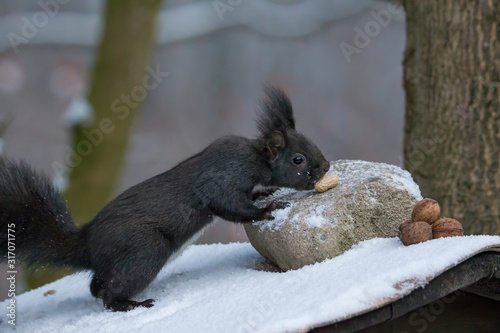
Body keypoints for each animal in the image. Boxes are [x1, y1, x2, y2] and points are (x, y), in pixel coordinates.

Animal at [0, 86, 330, 312]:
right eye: (298, 159)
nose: (325, 167)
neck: (255, 159)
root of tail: (88, 243)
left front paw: (266, 192)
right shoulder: (223, 181)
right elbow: (233, 207)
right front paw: (267, 208)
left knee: (96, 286)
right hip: (145, 251)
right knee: (107, 292)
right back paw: (129, 305)